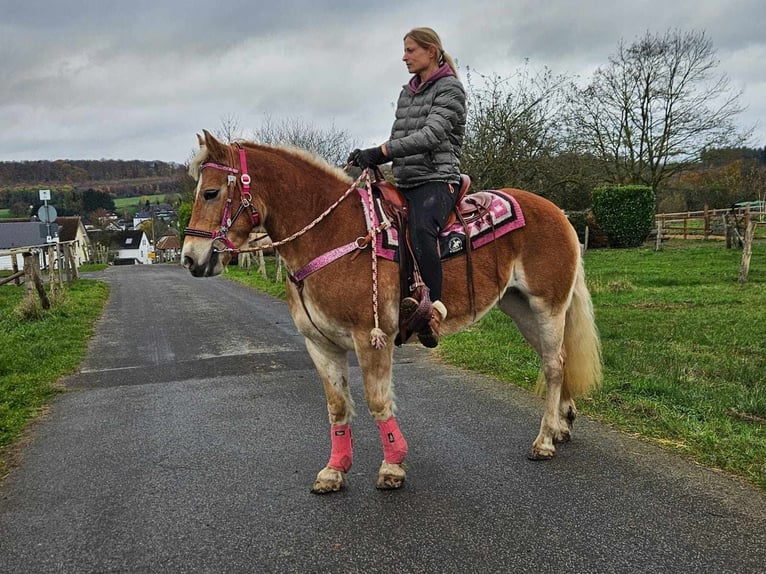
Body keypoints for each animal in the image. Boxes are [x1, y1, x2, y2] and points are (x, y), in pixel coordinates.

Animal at [183, 130, 604, 496]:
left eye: (211, 192)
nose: (190, 258)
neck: (330, 234)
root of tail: (557, 212)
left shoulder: (372, 338)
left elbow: (377, 401)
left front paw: (392, 466)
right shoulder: (320, 345)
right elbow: (338, 407)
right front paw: (334, 471)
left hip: (547, 306)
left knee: (553, 365)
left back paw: (545, 439)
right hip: (520, 308)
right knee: (557, 358)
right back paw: (562, 423)